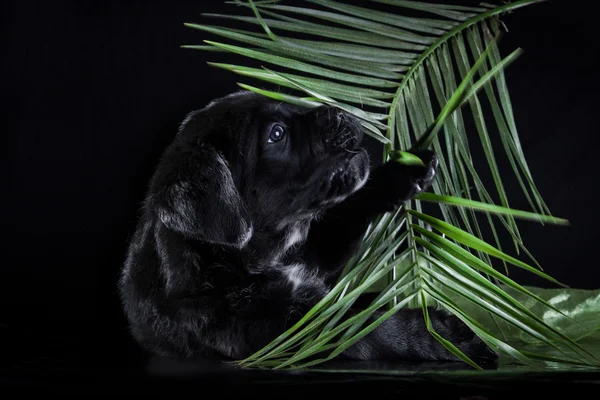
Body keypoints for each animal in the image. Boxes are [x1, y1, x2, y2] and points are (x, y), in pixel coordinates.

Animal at [118, 90, 496, 362]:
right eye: (276, 134)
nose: (339, 111)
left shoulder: (315, 251)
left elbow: (346, 212)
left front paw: (404, 169)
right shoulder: (286, 326)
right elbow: (365, 326)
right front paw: (446, 336)